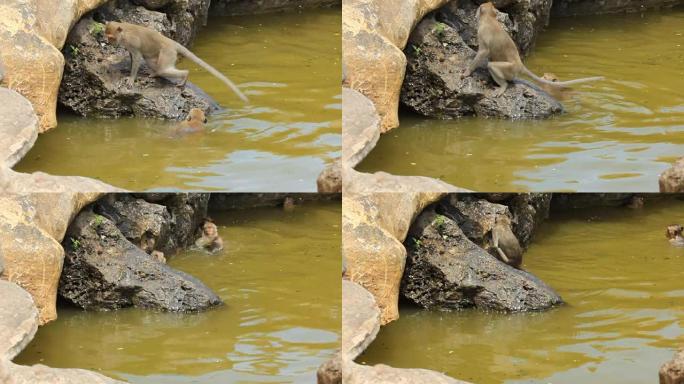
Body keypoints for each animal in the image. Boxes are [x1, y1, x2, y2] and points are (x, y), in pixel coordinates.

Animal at [104, 21, 248, 102]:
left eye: (111, 37)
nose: (109, 42)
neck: (123, 33)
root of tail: (171, 42)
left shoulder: (131, 41)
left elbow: (137, 57)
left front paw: (131, 79)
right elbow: (133, 57)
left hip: (168, 52)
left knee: (164, 69)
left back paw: (184, 75)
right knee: (152, 62)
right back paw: (156, 73)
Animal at [464, 2, 604, 97]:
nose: (475, 13)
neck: (489, 18)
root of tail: (520, 65)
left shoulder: (482, 32)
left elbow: (483, 51)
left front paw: (467, 72)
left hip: (510, 69)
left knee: (492, 65)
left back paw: (503, 85)